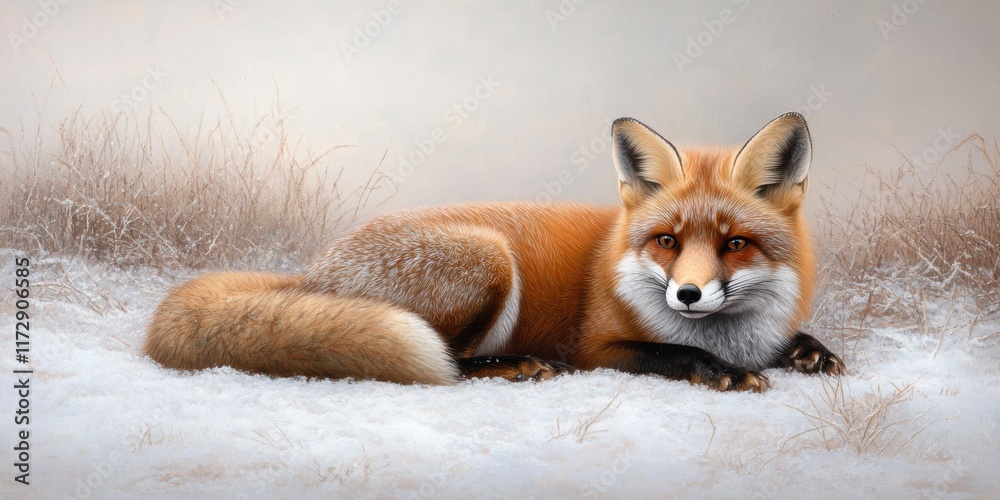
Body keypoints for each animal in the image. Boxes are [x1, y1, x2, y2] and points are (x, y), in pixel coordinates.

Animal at [145, 112, 845, 392]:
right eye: (667, 241)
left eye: (735, 244)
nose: (689, 294)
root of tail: (313, 273)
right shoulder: (598, 347)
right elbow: (671, 352)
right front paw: (720, 369)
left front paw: (809, 351)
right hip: (489, 259)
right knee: (450, 363)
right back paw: (517, 364)